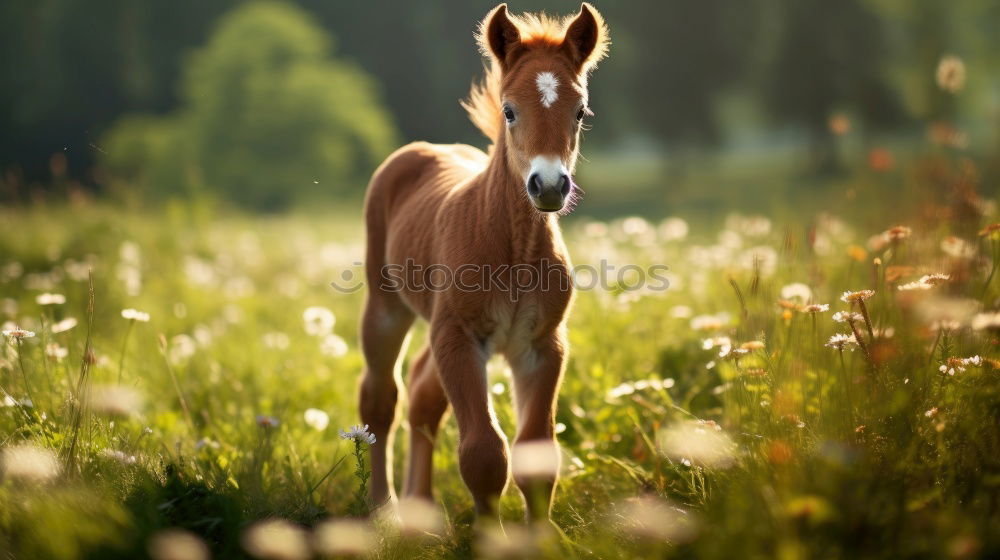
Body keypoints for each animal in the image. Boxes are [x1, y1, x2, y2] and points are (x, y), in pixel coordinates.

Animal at [360, 3, 608, 520]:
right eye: (509, 110)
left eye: (581, 112)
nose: (549, 185)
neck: (513, 250)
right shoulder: (458, 337)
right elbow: (483, 454)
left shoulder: (541, 345)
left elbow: (537, 455)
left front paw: (544, 536)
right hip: (388, 306)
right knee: (381, 397)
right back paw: (383, 508)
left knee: (421, 394)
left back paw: (421, 510)